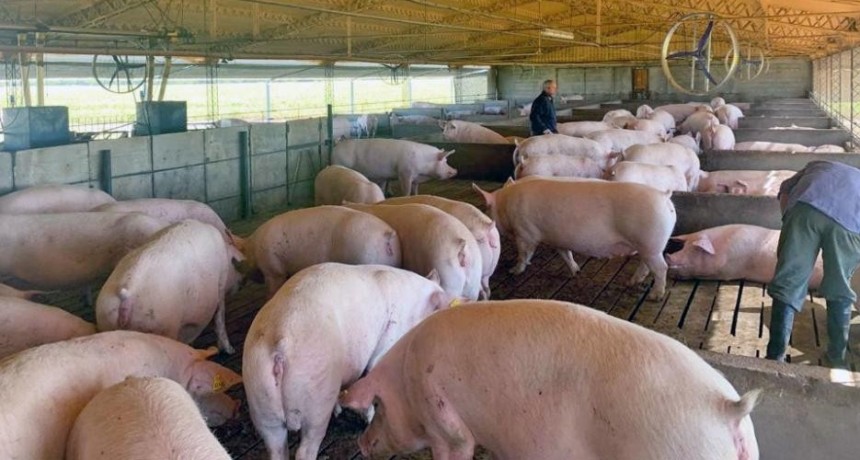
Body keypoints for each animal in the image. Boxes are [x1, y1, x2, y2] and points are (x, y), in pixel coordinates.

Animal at [96, 220, 243, 354]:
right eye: (235, 263)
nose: (242, 282)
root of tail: (128, 294)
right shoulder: (221, 282)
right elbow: (220, 316)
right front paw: (230, 350)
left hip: (106, 319)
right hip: (162, 323)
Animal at [243, 263, 456, 460]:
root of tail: (280, 343)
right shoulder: (389, 339)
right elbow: (371, 375)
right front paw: (368, 417)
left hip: (261, 402)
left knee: (276, 449)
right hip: (316, 399)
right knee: (306, 449)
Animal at [342, 300, 761, 460]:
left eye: (376, 405)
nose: (360, 443)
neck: (406, 377)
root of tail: (726, 410)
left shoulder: (444, 421)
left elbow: (457, 446)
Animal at [474, 178, 676, 300]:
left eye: (487, 208)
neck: (506, 204)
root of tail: (663, 196)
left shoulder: (525, 233)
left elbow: (524, 254)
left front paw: (513, 271)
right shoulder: (558, 239)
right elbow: (565, 254)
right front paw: (575, 271)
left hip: (650, 244)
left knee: (661, 267)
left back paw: (655, 296)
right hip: (647, 246)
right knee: (646, 265)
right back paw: (631, 282)